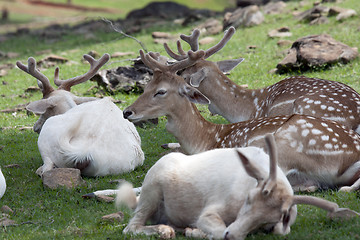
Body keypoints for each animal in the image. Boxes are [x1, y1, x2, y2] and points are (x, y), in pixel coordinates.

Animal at [116, 134, 358, 239]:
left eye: (271, 219)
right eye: (249, 200)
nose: (231, 234)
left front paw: (194, 231)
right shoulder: (209, 212)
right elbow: (215, 229)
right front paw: (197, 232)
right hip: (151, 192)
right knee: (131, 227)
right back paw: (165, 231)